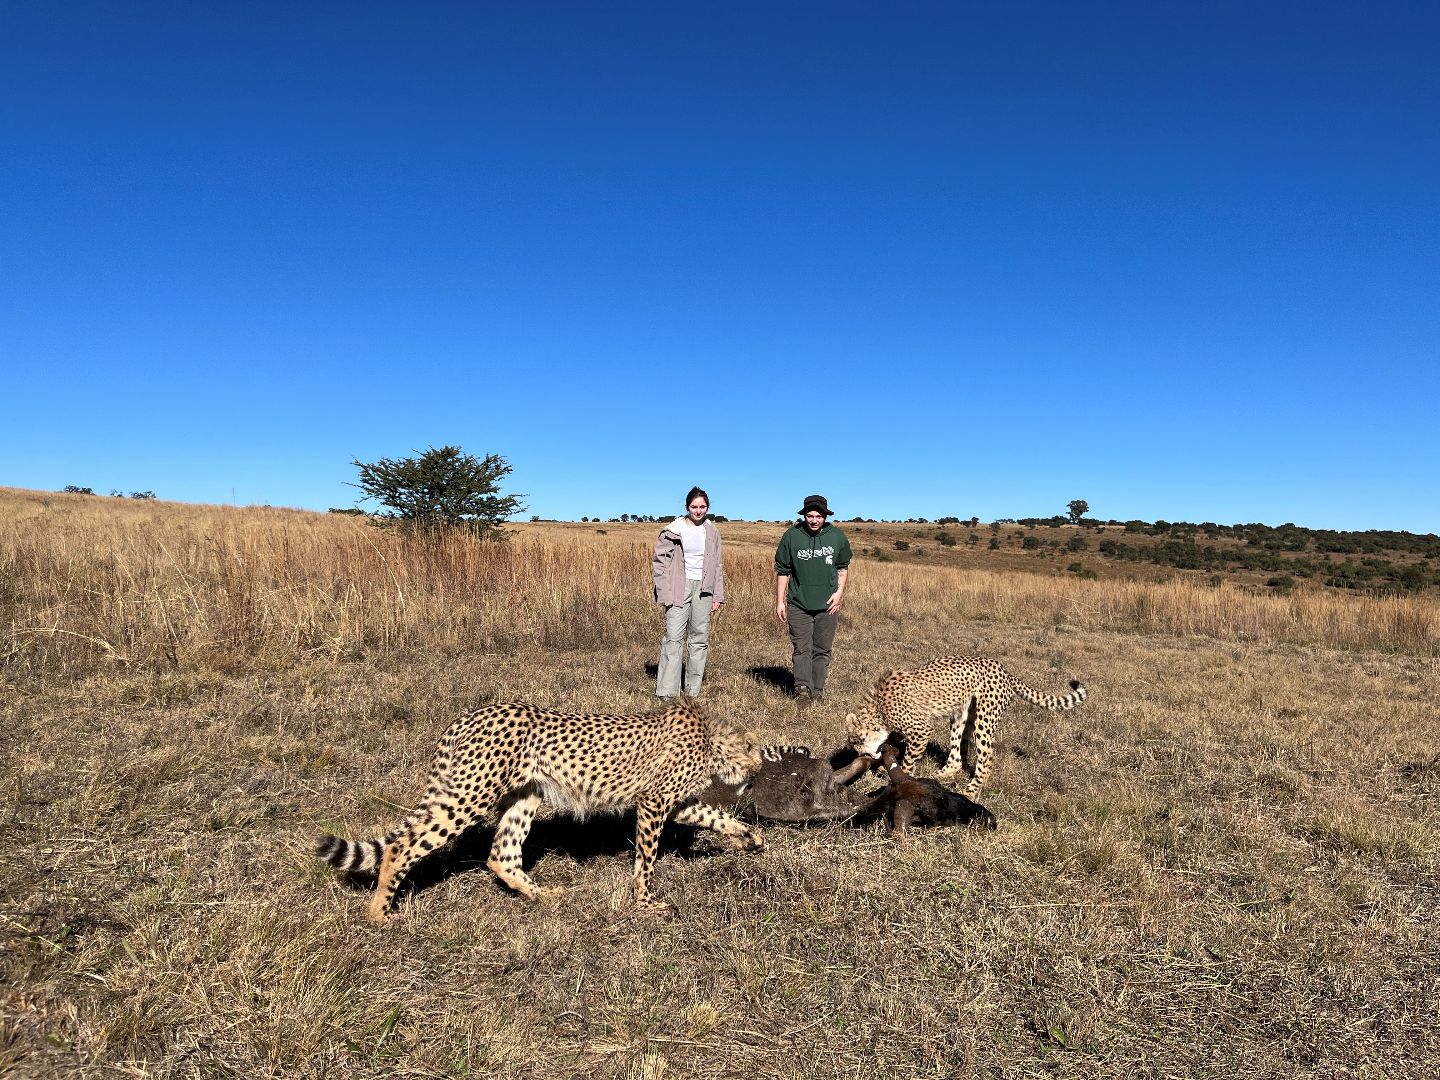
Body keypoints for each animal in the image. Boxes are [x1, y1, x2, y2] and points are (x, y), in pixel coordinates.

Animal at [315, 702, 766, 921]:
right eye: (760, 758)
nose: (756, 777)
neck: (712, 741)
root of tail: (469, 715)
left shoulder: (673, 804)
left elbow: (715, 816)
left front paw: (751, 838)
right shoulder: (653, 803)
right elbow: (647, 860)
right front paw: (645, 902)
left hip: (525, 795)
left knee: (501, 855)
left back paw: (544, 896)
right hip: (470, 796)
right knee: (401, 846)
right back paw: (380, 914)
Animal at [840, 656, 1082, 800]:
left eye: (857, 742)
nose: (863, 756)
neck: (878, 708)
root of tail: (1004, 669)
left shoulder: (921, 730)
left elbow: (908, 762)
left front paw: (900, 779)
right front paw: (883, 767)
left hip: (984, 720)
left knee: (986, 760)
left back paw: (972, 789)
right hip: (960, 715)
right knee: (957, 756)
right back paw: (941, 774)